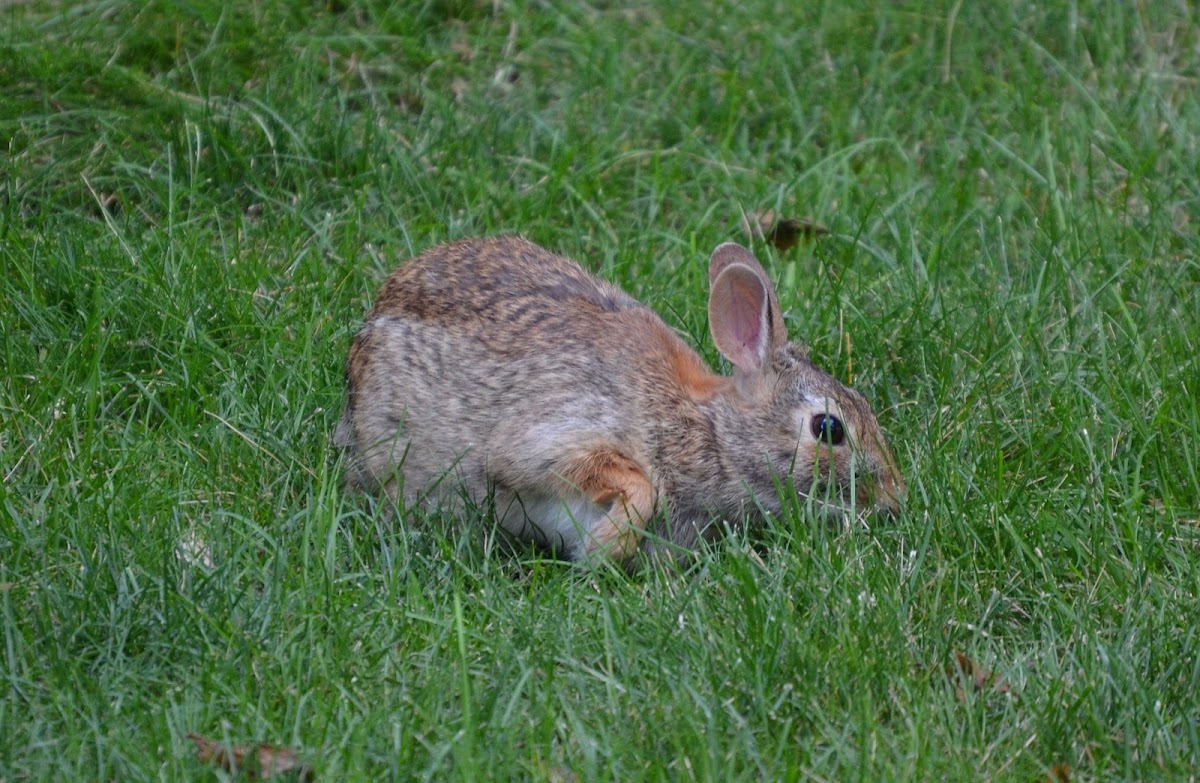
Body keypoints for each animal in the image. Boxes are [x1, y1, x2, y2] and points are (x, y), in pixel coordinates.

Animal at [333, 235, 902, 566]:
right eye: (828, 429)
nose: (894, 498)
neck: (709, 432)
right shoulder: (555, 436)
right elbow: (634, 483)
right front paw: (604, 552)